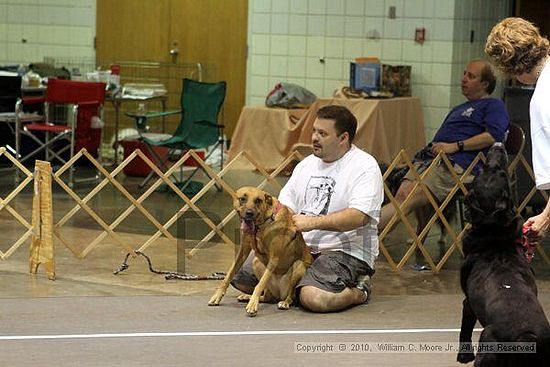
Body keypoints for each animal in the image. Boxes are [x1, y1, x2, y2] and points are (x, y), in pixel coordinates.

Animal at [208, 187, 312, 316]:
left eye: (258, 200)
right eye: (242, 199)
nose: (249, 213)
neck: (262, 224)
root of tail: (279, 294)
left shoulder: (274, 258)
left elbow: (259, 284)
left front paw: (252, 305)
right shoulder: (243, 251)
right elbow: (228, 275)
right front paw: (217, 296)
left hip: (298, 266)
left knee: (291, 296)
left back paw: (284, 302)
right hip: (256, 262)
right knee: (267, 297)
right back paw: (247, 297)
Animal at [458, 144, 550, 366]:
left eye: (501, 172)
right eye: (482, 170)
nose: (498, 145)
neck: (493, 231)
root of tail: (526, 337)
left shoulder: (468, 303)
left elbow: (464, 330)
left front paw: (463, 356)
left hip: (487, 350)